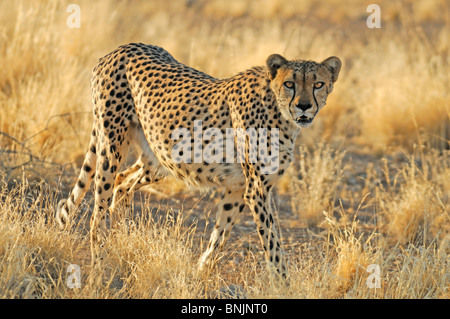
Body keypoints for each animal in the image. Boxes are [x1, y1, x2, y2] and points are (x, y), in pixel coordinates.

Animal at [56, 43, 340, 282]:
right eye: (290, 83)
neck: (279, 112)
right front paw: (283, 283)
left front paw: (200, 271)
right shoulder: (257, 189)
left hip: (160, 158)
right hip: (112, 144)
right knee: (99, 209)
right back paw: (100, 259)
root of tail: (119, 48)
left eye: (318, 84)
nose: (304, 106)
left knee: (122, 181)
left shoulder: (238, 187)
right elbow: (272, 243)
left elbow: (220, 234)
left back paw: (123, 235)